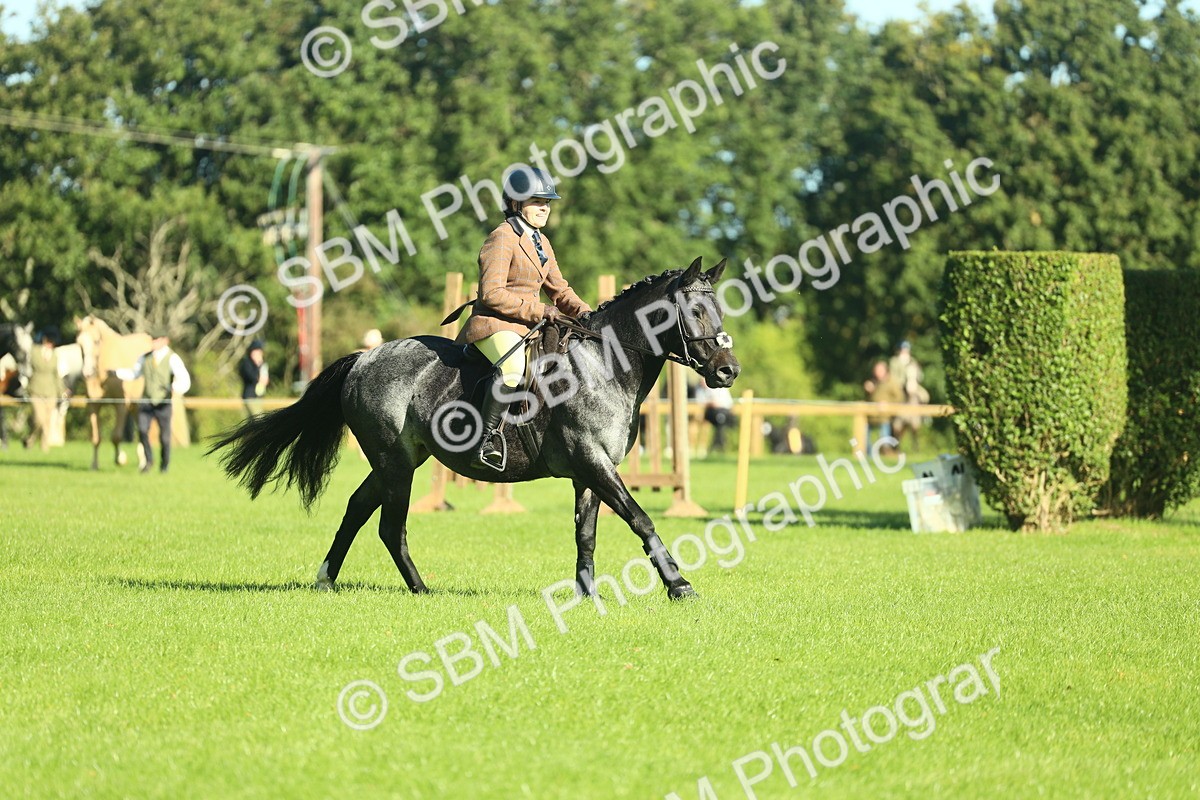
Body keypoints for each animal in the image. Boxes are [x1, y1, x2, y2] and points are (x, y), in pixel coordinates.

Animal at [74, 315, 153, 470]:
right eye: (79, 343)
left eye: (96, 341)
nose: (87, 373)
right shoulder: (93, 406)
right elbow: (96, 438)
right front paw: (94, 465)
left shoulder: (121, 405)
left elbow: (116, 436)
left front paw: (120, 459)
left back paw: (142, 463)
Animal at [211, 259, 741, 600]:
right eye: (695, 312)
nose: (728, 371)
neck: (603, 364)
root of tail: (364, 357)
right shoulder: (593, 461)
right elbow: (640, 518)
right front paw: (679, 585)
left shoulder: (592, 470)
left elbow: (586, 533)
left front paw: (587, 595)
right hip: (395, 463)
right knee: (390, 526)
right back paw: (421, 590)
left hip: (398, 461)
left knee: (358, 508)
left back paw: (326, 580)